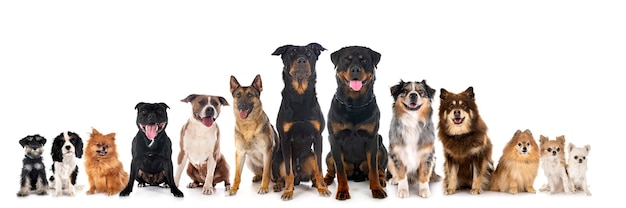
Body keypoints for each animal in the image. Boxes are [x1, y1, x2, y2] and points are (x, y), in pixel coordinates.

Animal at [268, 42, 332, 200]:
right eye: (292, 53)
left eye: (309, 53)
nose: (302, 60)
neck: (300, 96)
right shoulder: (285, 139)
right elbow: (288, 172)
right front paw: (287, 191)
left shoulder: (318, 137)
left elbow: (320, 168)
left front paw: (323, 188)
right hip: (277, 159)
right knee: (282, 176)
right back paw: (279, 185)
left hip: (310, 155)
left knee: (314, 170)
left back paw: (317, 183)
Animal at [324, 45, 388, 200]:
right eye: (346, 61)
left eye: (364, 60)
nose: (355, 69)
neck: (354, 104)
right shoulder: (334, 139)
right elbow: (340, 171)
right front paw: (342, 191)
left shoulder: (372, 139)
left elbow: (373, 169)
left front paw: (377, 189)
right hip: (329, 154)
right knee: (331, 170)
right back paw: (325, 180)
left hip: (381, 147)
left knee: (380, 168)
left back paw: (382, 180)